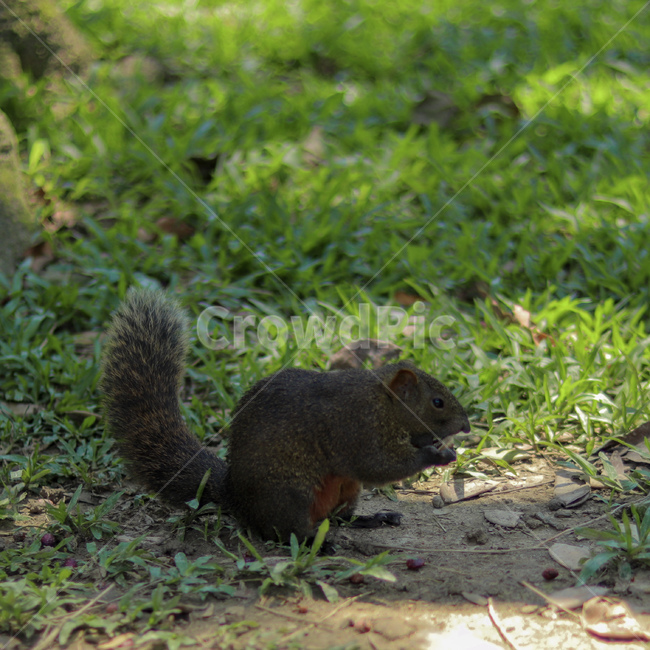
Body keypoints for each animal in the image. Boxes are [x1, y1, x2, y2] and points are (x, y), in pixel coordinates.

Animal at [101, 289, 471, 541]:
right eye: (437, 402)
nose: (466, 426)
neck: (382, 404)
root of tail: (234, 495)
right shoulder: (356, 429)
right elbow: (379, 465)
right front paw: (436, 455)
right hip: (291, 495)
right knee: (285, 531)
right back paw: (318, 544)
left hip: (347, 491)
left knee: (337, 518)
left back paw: (370, 518)